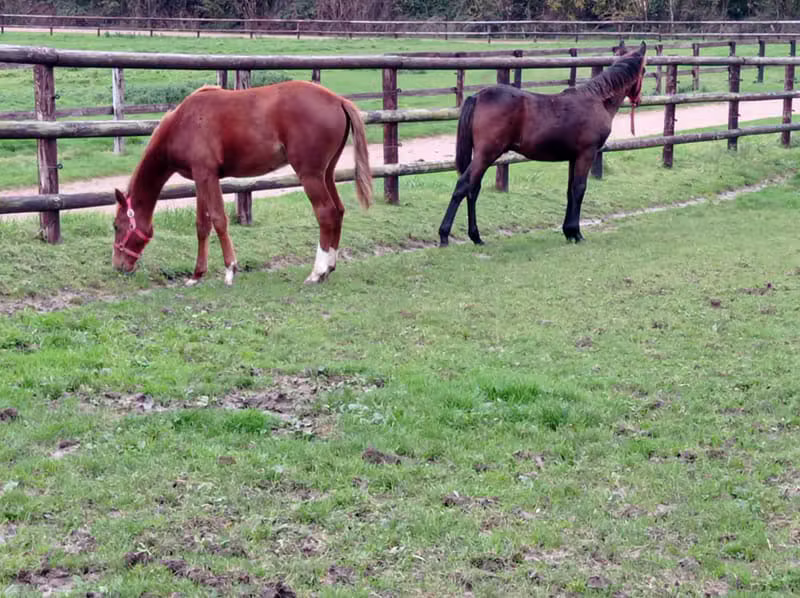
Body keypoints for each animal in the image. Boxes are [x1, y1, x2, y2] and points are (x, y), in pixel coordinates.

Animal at [112, 80, 372, 286]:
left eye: (116, 226)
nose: (118, 267)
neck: (183, 122)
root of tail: (338, 100)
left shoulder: (207, 175)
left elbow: (219, 220)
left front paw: (230, 270)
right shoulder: (200, 177)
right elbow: (202, 225)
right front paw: (196, 275)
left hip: (310, 175)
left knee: (325, 213)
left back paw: (316, 273)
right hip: (327, 173)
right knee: (338, 211)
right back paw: (329, 268)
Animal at [438, 41, 647, 247]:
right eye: (644, 71)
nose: (639, 100)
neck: (597, 101)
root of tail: (478, 96)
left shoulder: (573, 157)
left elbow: (570, 190)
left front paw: (568, 232)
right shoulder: (587, 154)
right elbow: (579, 189)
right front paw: (577, 234)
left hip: (483, 156)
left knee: (473, 189)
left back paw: (476, 237)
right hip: (486, 154)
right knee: (464, 185)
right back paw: (444, 235)